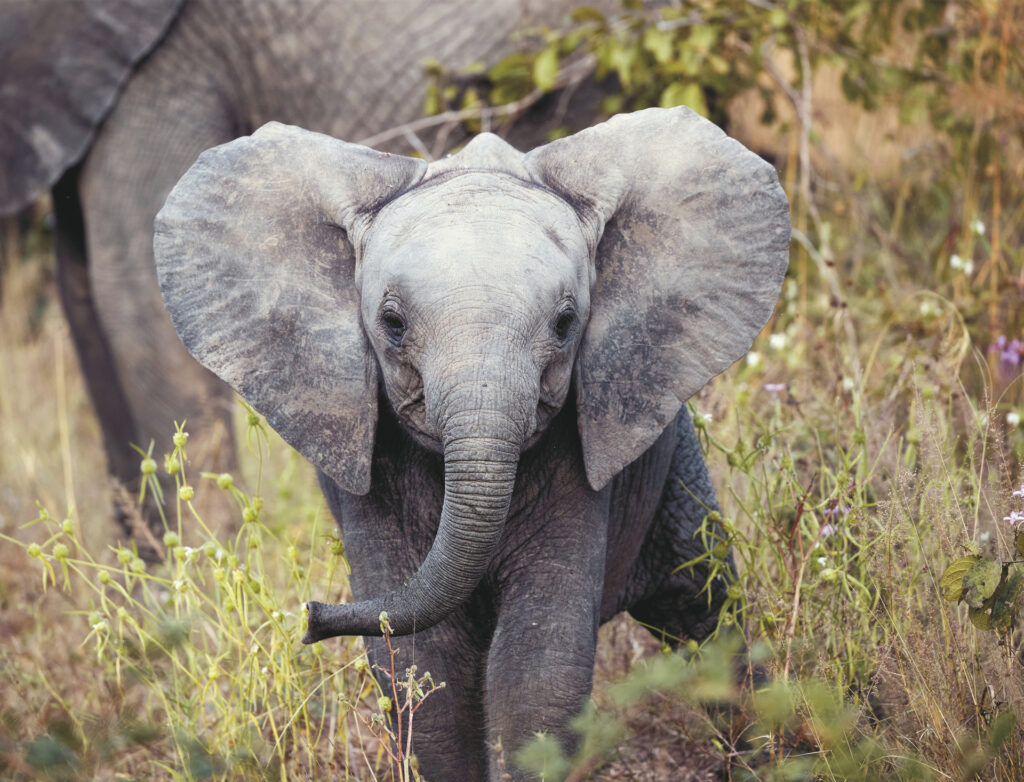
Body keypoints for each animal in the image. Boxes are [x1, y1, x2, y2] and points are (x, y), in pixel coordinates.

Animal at [153, 106, 790, 777]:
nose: (308, 617)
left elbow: (539, 665)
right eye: (392, 324)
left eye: (566, 323)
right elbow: (421, 663)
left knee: (709, 610)